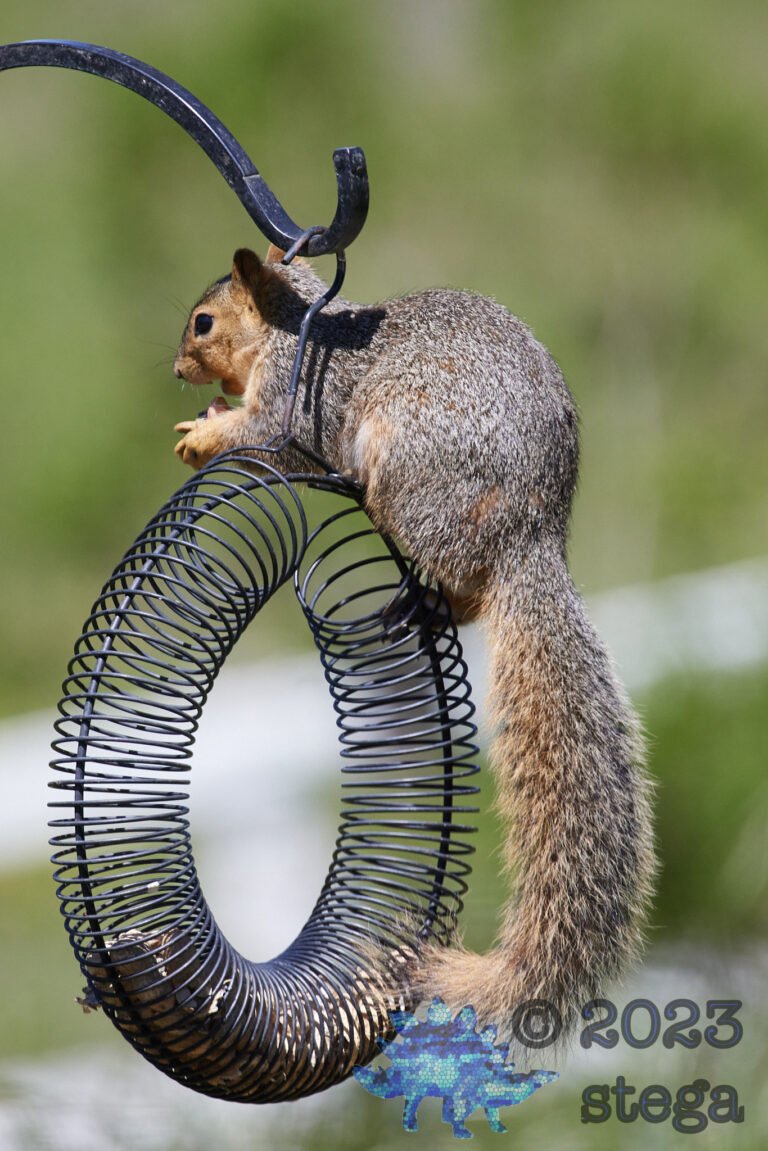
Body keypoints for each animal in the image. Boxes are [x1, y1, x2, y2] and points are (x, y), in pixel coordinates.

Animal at [173, 246, 656, 1043]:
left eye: (204, 321)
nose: (178, 368)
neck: (296, 329)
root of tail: (527, 539)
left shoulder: (299, 405)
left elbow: (262, 433)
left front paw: (203, 432)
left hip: (408, 479)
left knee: (452, 580)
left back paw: (414, 586)